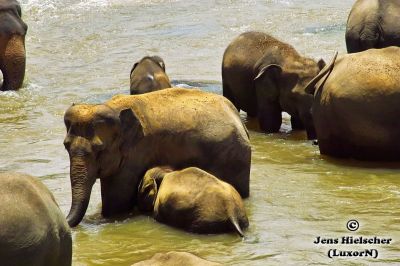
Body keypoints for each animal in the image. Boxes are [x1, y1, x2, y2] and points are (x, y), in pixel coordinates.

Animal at [64, 87, 252, 227]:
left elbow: (117, 201)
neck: (114, 108)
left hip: (234, 157)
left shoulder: (135, 154)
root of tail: (239, 120)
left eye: (99, 150)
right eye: (66, 146)